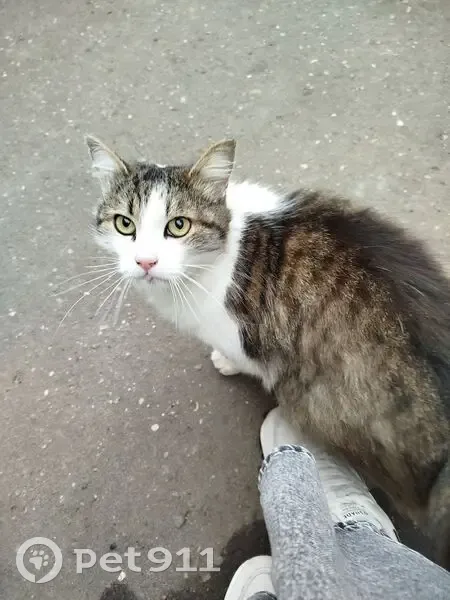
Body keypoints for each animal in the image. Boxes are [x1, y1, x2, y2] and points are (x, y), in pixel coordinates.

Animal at [85, 136, 450, 568]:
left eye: (178, 226)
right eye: (125, 224)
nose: (145, 261)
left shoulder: (244, 338)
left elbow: (242, 357)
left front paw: (225, 362)